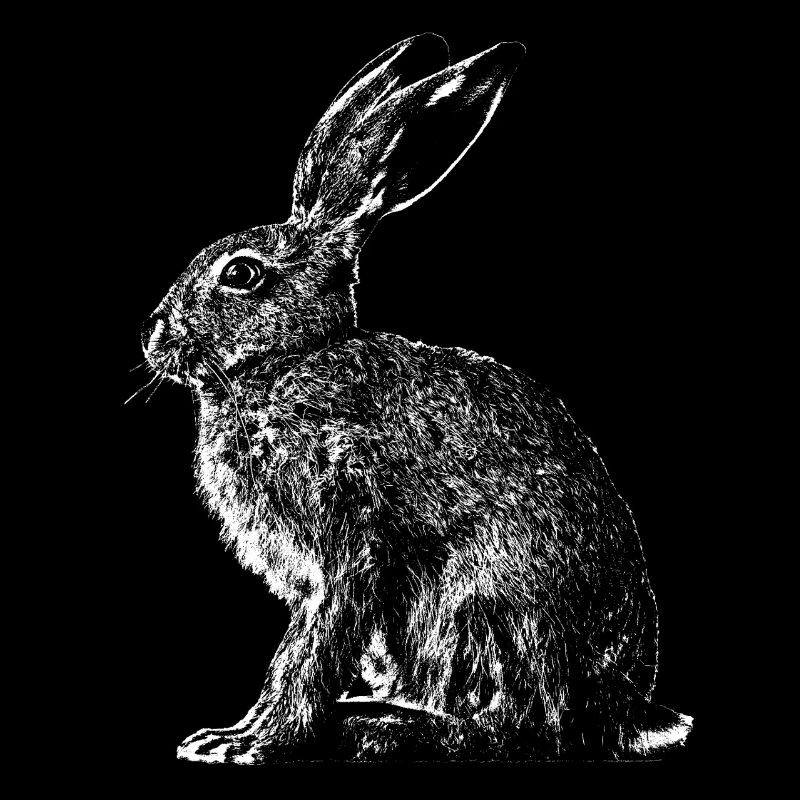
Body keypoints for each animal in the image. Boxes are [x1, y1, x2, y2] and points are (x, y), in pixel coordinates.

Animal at [142, 33, 692, 763]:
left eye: (242, 274)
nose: (152, 336)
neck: (289, 361)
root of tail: (628, 709)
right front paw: (234, 736)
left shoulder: (346, 541)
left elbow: (308, 651)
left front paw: (247, 743)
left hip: (486, 607)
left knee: (529, 728)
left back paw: (386, 729)